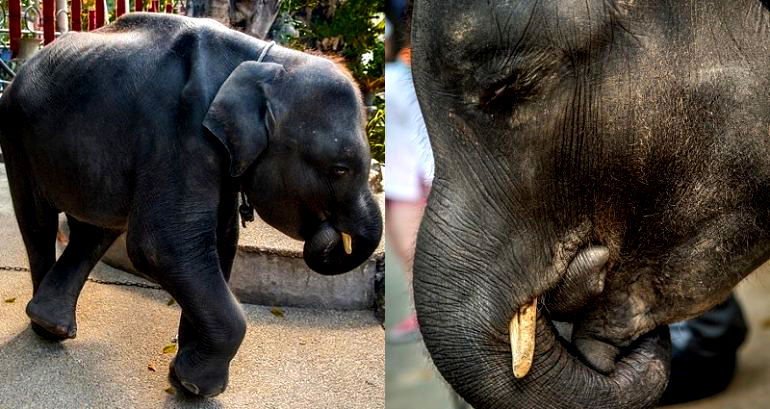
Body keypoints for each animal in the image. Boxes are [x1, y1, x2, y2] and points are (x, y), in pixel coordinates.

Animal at [0, 11, 382, 396]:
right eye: (339, 169)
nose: (330, 232)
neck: (264, 60)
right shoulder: (179, 132)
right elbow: (162, 246)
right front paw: (196, 387)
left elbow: (219, 242)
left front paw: (184, 378)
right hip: (16, 135)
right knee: (38, 224)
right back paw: (44, 330)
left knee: (95, 231)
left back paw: (51, 323)